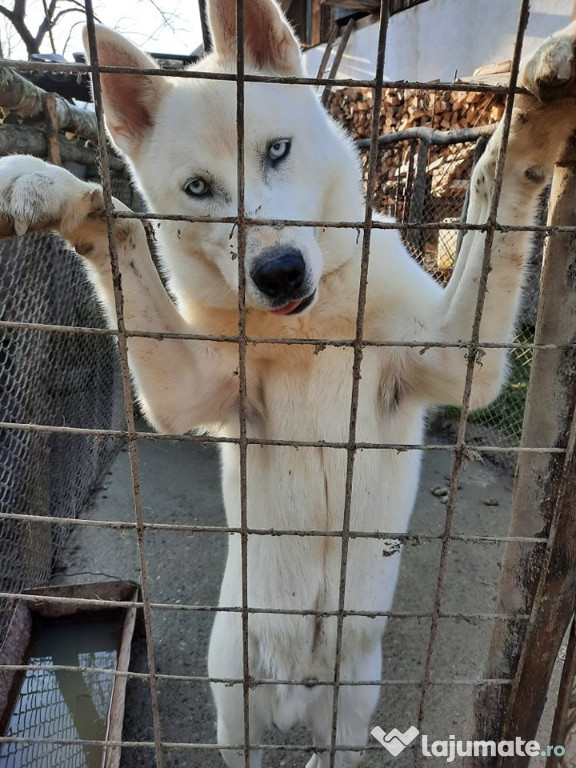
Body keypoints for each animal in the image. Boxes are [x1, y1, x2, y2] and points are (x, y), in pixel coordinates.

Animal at [1, 3, 576, 764]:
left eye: (277, 150)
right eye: (198, 189)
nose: (278, 273)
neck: (310, 328)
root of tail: (296, 688)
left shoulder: (460, 358)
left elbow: (494, 189)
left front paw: (538, 111)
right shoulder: (183, 390)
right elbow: (119, 229)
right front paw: (57, 191)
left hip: (353, 701)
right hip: (233, 703)